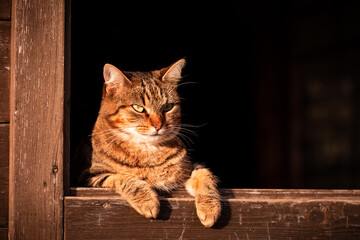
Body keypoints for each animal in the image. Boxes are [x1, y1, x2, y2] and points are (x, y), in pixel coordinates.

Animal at [80, 59, 221, 228]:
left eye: (168, 107)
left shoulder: (189, 169)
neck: (149, 150)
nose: (158, 125)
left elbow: (205, 175)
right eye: (138, 108)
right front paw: (147, 200)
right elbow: (123, 178)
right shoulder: (91, 176)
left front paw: (210, 207)